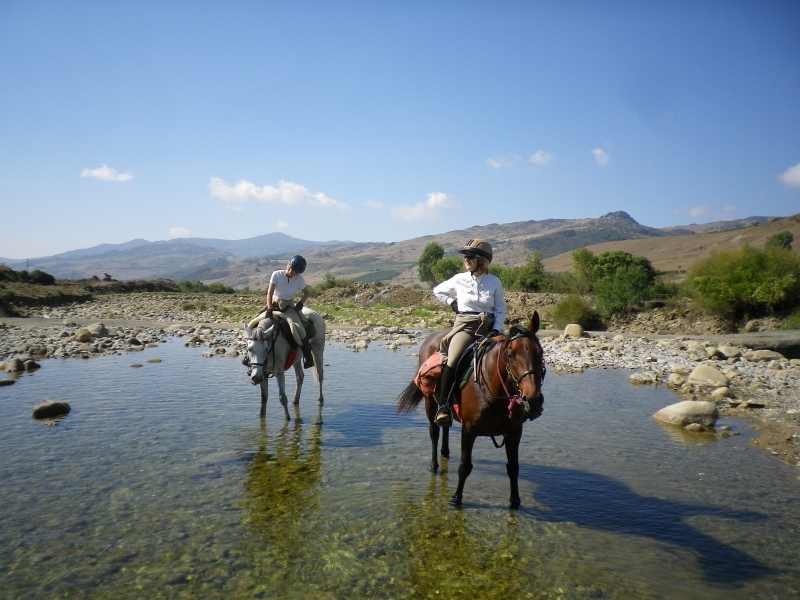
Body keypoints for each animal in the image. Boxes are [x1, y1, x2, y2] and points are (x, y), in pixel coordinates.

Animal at [396, 314, 548, 506]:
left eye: (540, 353)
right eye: (511, 355)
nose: (533, 399)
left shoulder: (514, 432)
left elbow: (513, 468)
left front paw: (515, 502)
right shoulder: (469, 430)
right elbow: (465, 466)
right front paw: (456, 498)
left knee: (445, 425)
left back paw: (445, 452)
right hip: (429, 402)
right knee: (434, 432)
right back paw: (434, 465)